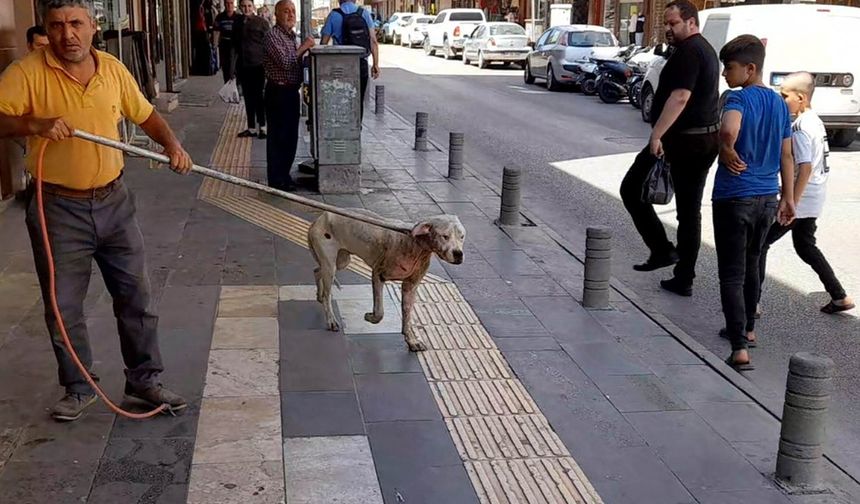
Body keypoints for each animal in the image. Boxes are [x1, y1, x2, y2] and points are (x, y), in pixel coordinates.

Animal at [310, 209, 466, 350]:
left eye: (462, 236)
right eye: (445, 236)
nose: (458, 254)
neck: (415, 244)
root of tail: (320, 217)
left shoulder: (410, 286)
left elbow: (407, 316)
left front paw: (411, 340)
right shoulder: (378, 275)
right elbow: (380, 312)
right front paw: (370, 317)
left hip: (341, 261)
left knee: (317, 271)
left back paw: (319, 294)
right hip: (331, 265)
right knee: (327, 293)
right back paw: (330, 318)